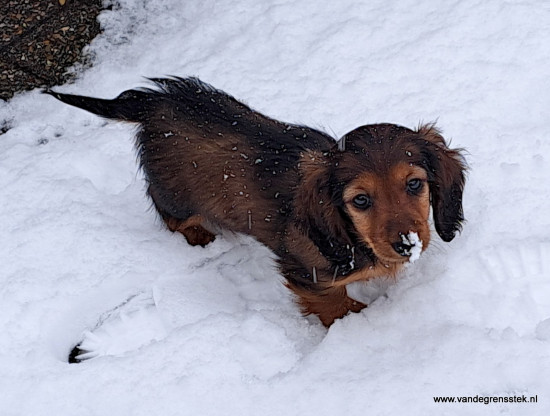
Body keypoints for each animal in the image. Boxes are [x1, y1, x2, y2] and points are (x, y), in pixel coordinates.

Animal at [46, 77, 466, 324]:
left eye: (414, 184)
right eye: (360, 200)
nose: (407, 245)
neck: (352, 239)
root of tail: (155, 102)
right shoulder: (309, 276)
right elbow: (338, 307)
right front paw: (359, 325)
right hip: (176, 195)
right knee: (170, 215)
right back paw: (199, 236)